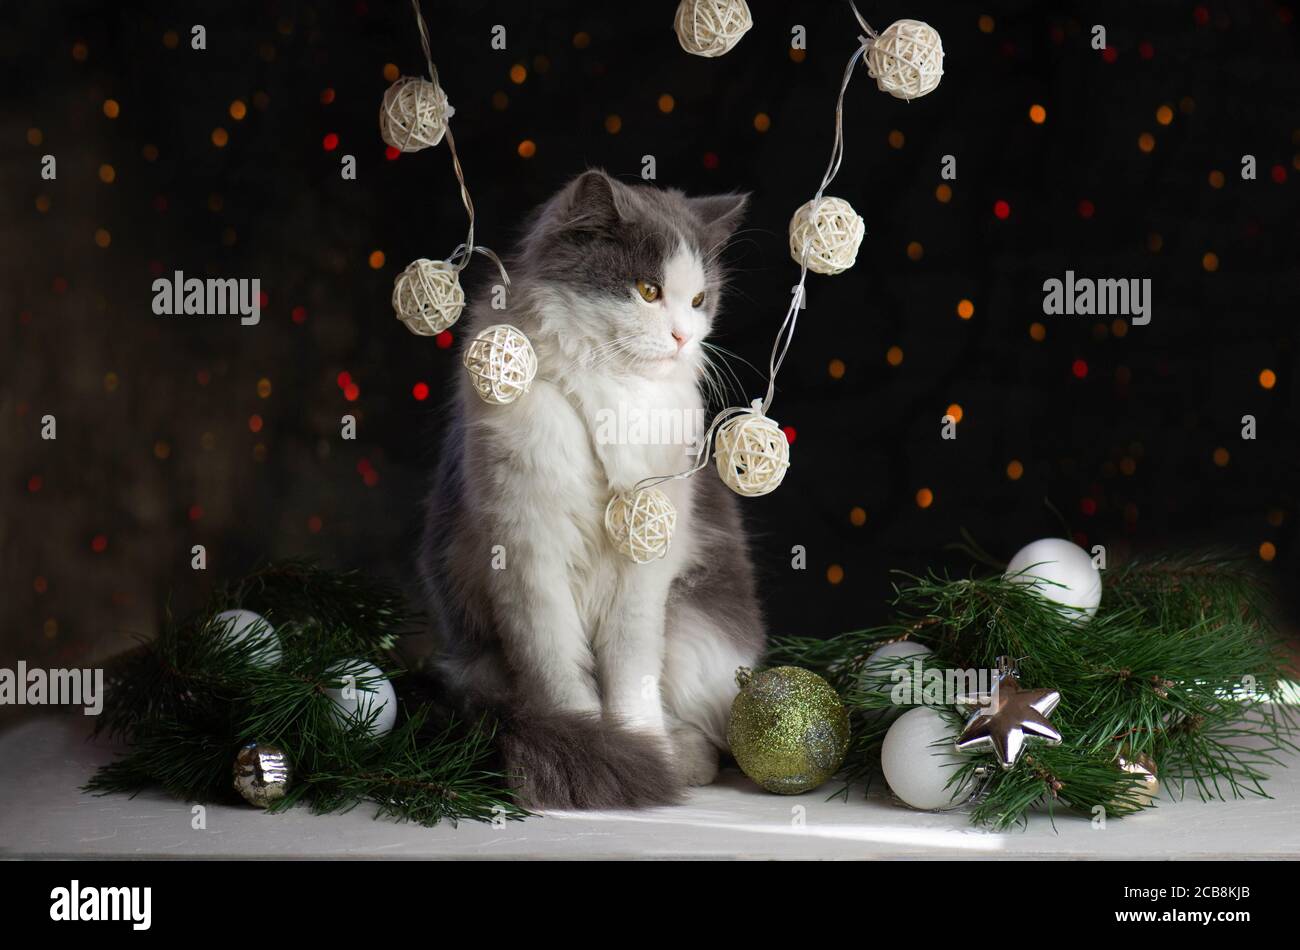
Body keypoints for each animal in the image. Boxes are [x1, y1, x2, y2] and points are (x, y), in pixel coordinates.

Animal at [416, 167, 759, 805]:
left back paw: (683, 757)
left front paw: (643, 753)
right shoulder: (527, 556)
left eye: (699, 300)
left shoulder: (645, 571)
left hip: (695, 635)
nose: (682, 335)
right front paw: (598, 753)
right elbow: (559, 674)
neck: (610, 389)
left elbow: (629, 675)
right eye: (647, 291)